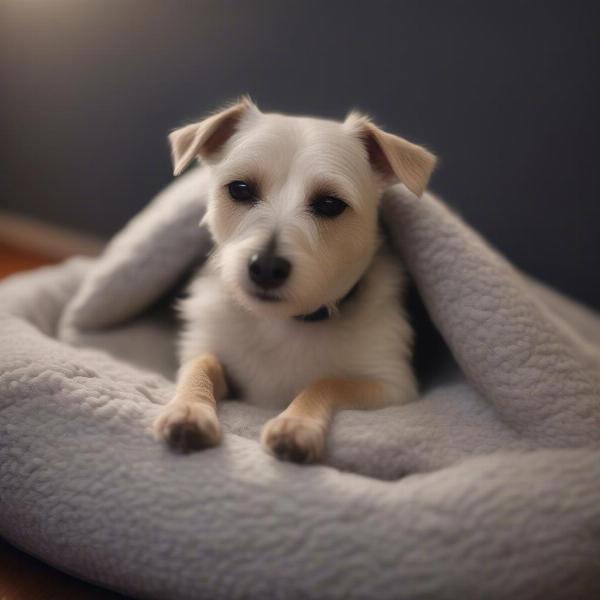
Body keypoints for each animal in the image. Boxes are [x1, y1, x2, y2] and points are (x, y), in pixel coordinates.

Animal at [154, 98, 436, 464]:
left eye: (330, 204)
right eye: (240, 189)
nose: (266, 267)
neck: (284, 323)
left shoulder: (393, 386)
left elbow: (327, 382)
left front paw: (296, 424)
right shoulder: (202, 347)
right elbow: (200, 366)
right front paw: (188, 409)